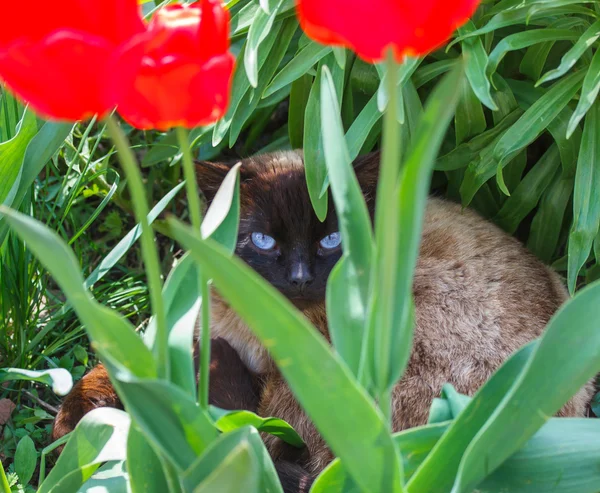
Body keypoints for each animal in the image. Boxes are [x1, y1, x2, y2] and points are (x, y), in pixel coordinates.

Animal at [52, 151, 596, 492]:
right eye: (264, 241)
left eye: (332, 240)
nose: (298, 278)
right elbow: (114, 369)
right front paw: (73, 422)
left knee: (273, 453)